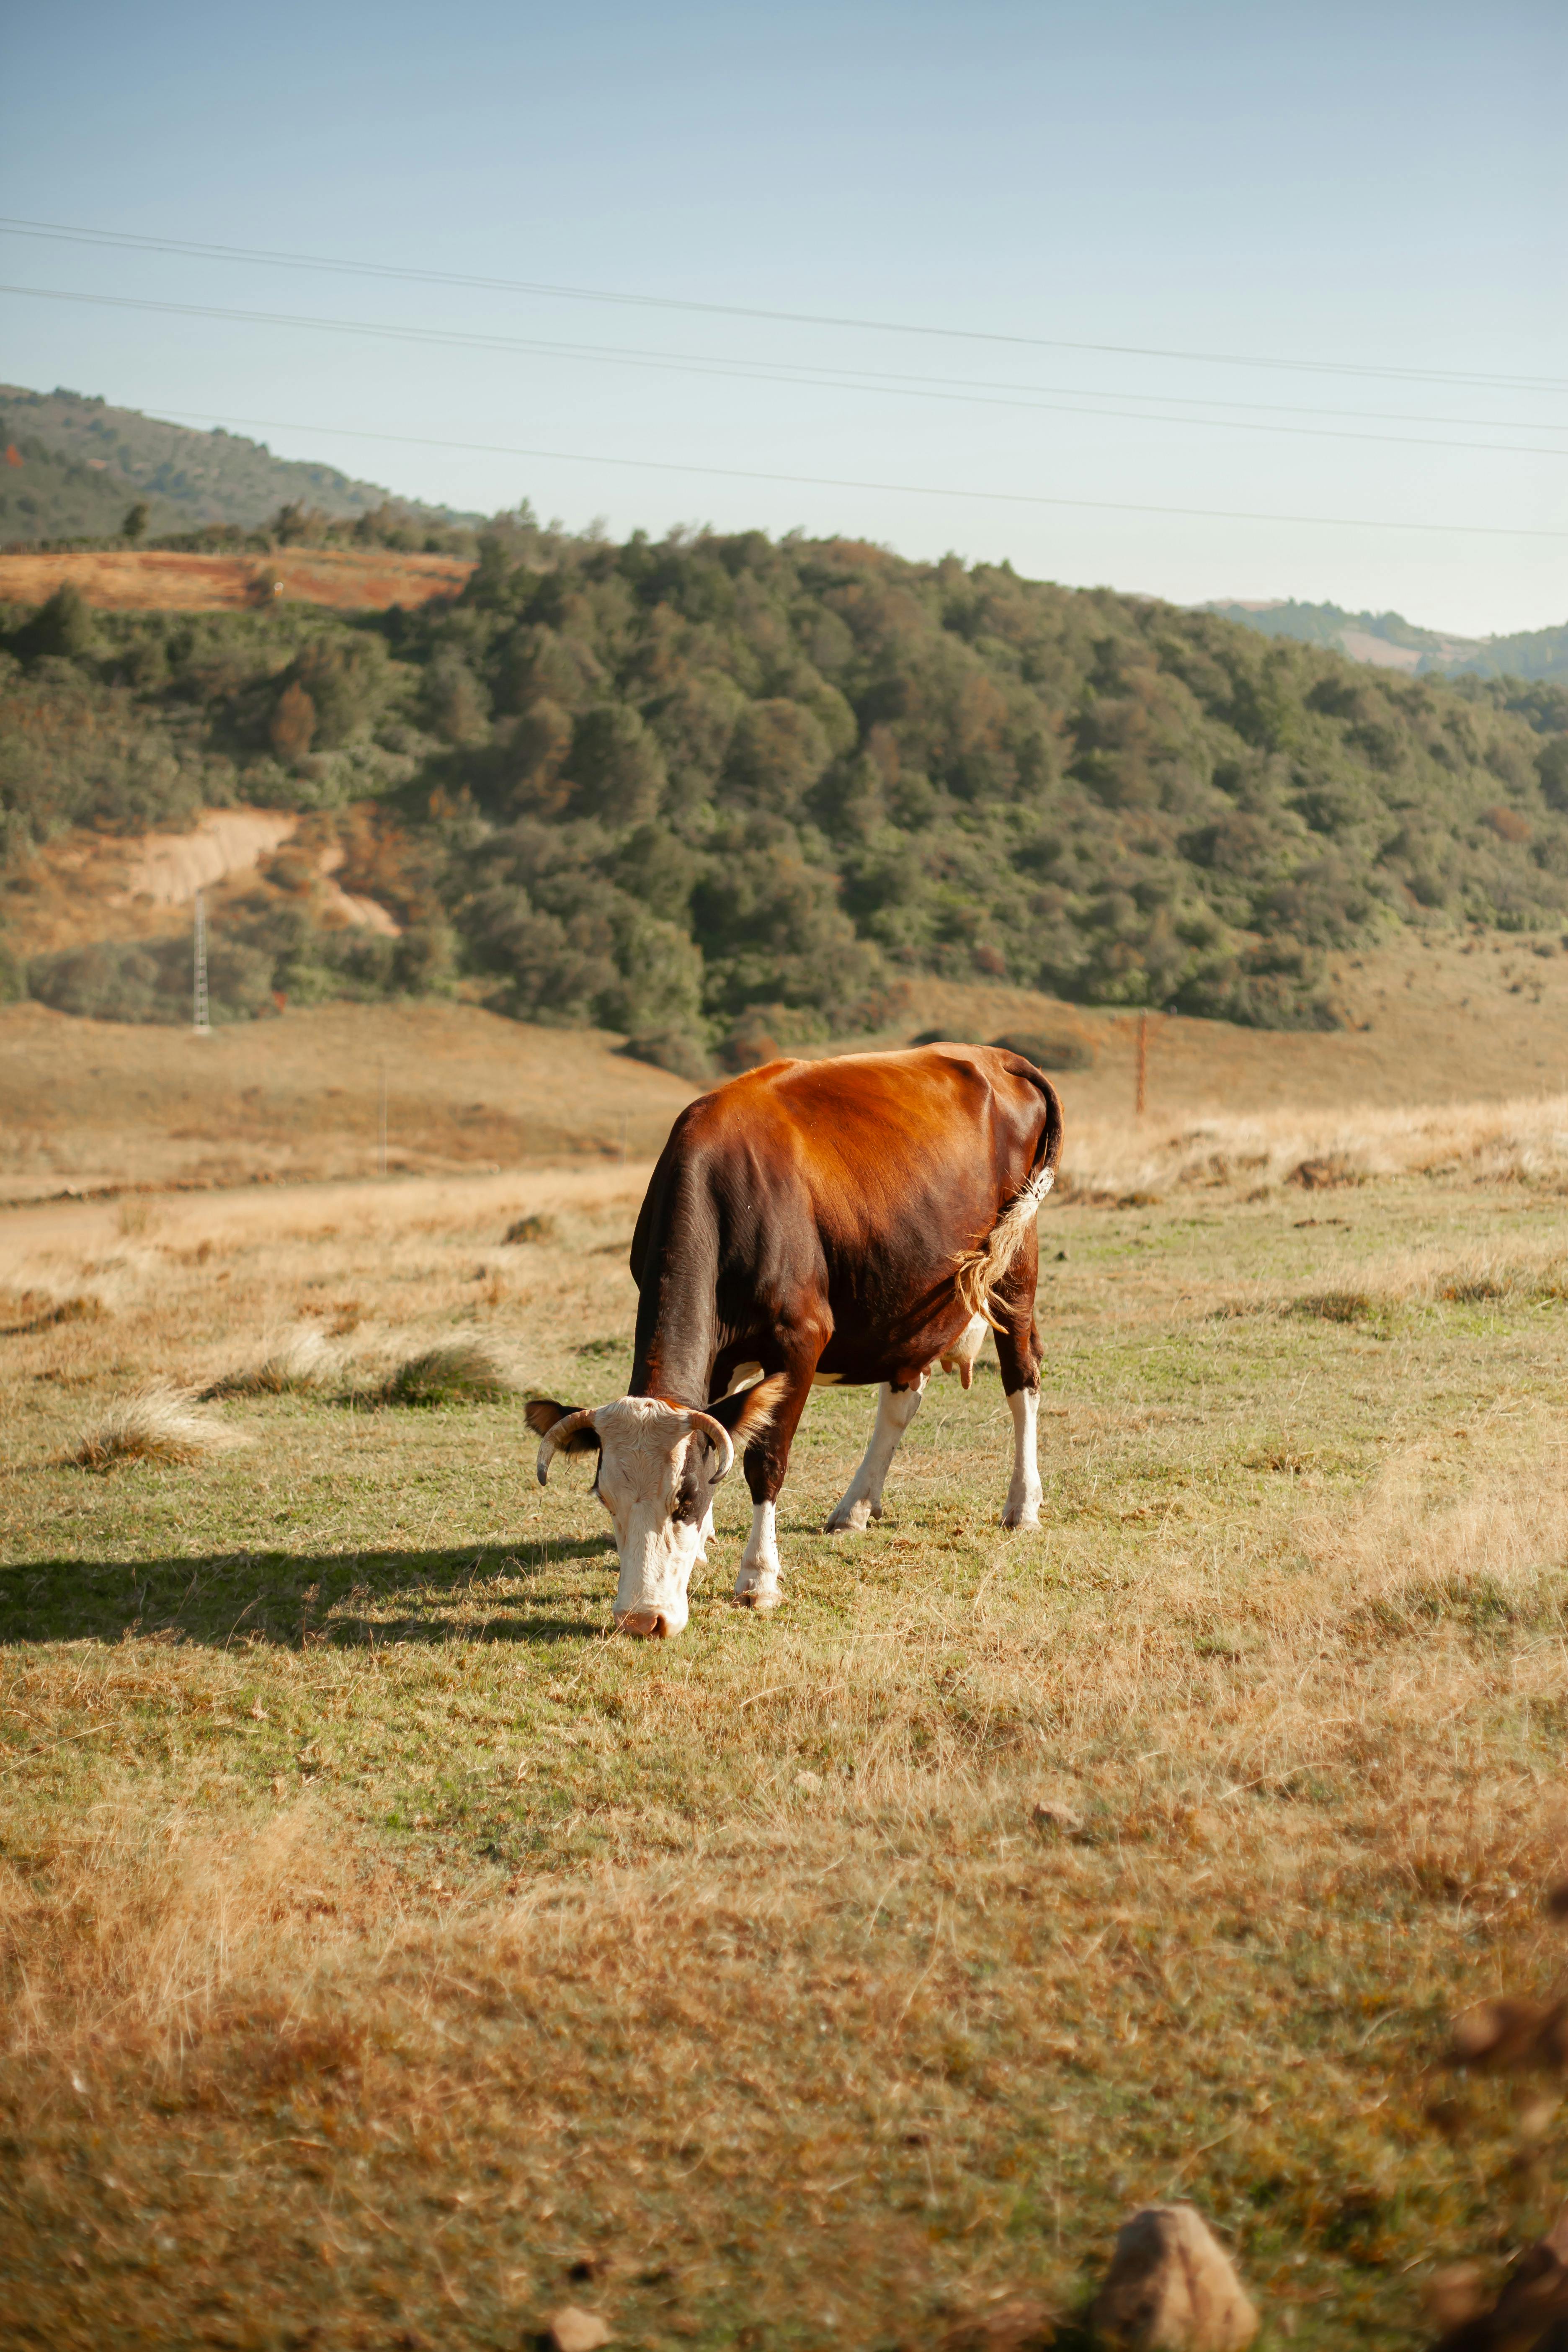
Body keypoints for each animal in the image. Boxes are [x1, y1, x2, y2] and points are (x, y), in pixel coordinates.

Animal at [526, 1049, 1067, 1637]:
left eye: (683, 1499)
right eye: (606, 1498)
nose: (641, 1620)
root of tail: (998, 1057)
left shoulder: (799, 1341)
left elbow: (765, 1460)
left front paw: (758, 1579)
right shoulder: (719, 1357)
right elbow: (720, 1429)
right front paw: (703, 1548)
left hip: (1015, 1263)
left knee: (1022, 1379)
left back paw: (1022, 1506)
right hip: (907, 1296)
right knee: (902, 1397)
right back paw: (856, 1508)